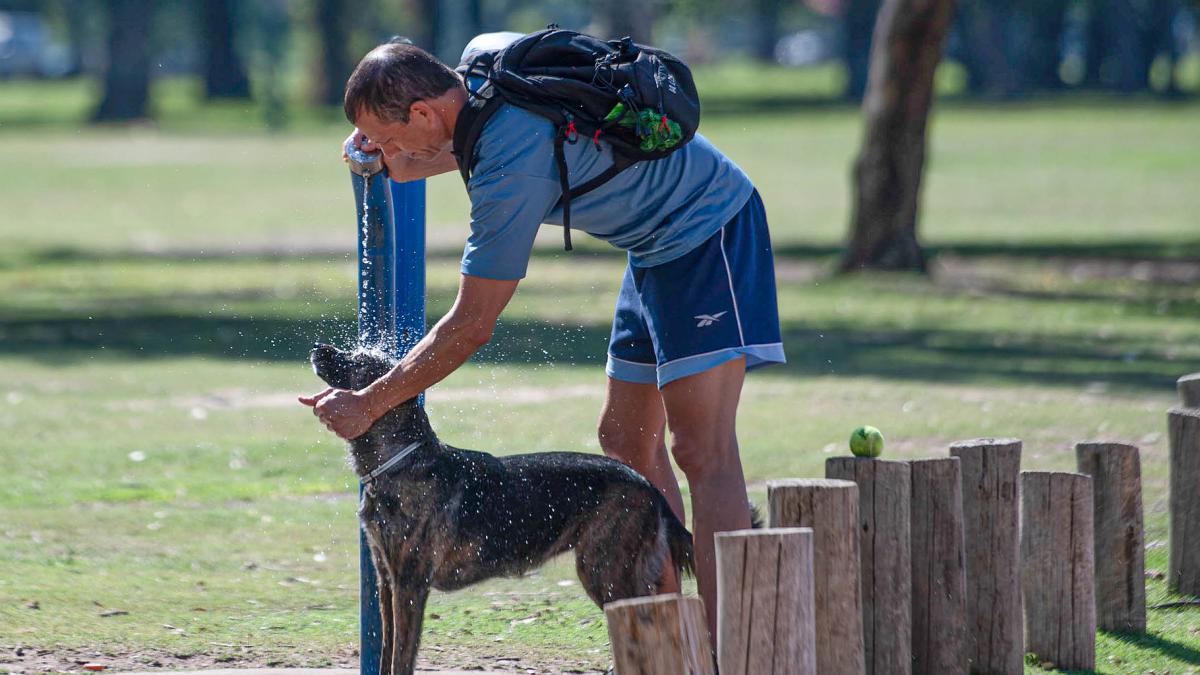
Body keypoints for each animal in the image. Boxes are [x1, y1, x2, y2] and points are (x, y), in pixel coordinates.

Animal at [309, 343, 696, 667]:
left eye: (358, 361)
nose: (317, 347)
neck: (402, 460)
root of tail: (648, 486)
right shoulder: (386, 580)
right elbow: (387, 652)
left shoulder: (409, 584)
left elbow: (402, 656)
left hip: (606, 573)